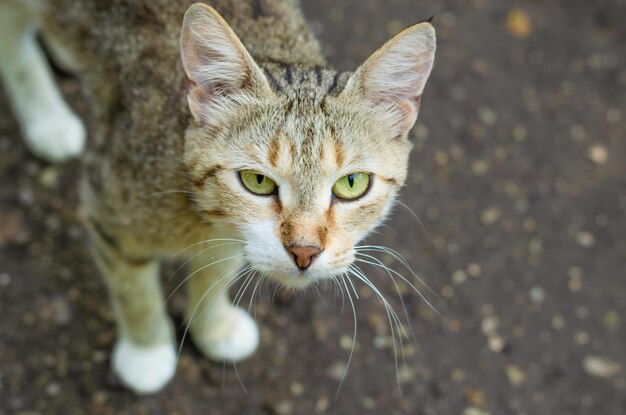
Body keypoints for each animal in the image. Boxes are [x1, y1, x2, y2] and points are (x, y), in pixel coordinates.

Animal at [0, 0, 436, 394]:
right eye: (257, 181)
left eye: (352, 184)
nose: (304, 251)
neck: (200, 209)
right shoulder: (108, 205)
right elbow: (133, 289)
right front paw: (146, 351)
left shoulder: (233, 236)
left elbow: (216, 272)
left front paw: (213, 326)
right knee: (12, 38)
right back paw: (47, 118)